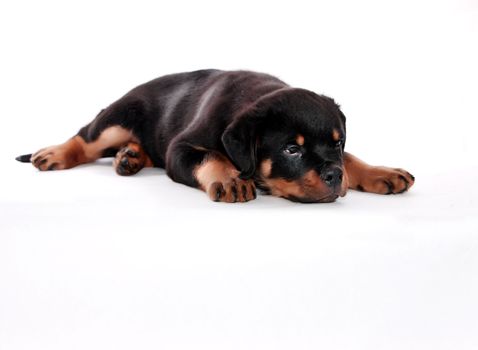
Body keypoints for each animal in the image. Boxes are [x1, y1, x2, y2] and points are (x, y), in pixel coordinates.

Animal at [15, 69, 414, 202]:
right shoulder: (180, 149)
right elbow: (210, 156)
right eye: (291, 150)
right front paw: (232, 178)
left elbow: (353, 159)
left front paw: (380, 172)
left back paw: (129, 157)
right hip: (119, 116)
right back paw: (53, 153)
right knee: (86, 138)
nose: (333, 176)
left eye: (337, 142)